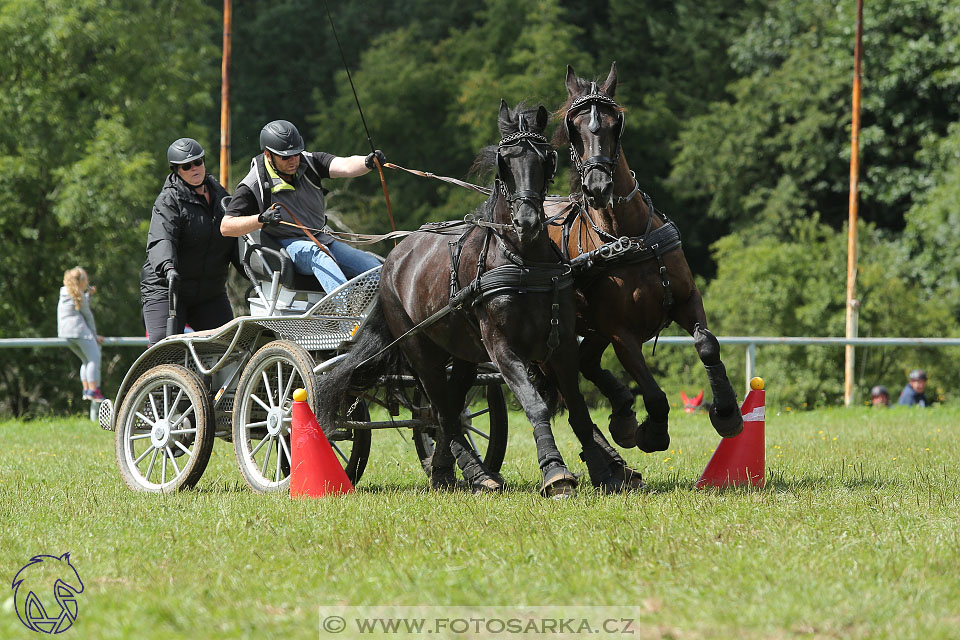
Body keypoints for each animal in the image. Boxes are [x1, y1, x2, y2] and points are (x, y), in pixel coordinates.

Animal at [318, 102, 632, 498]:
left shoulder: (561, 345)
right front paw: (555, 472)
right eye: (504, 161)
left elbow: (577, 408)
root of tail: (394, 258)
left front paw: (603, 472)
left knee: (448, 411)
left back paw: (459, 471)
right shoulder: (502, 349)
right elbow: (535, 406)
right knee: (439, 411)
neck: (522, 260)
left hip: (463, 354)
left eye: (546, 158)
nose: (527, 221)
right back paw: (464, 471)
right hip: (422, 352)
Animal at [544, 63, 748, 456]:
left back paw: (622, 414)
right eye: (573, 128)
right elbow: (653, 394)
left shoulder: (686, 299)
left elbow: (707, 344)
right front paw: (652, 431)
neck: (628, 239)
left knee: (588, 362)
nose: (597, 188)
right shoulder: (621, 333)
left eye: (615, 123)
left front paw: (727, 412)